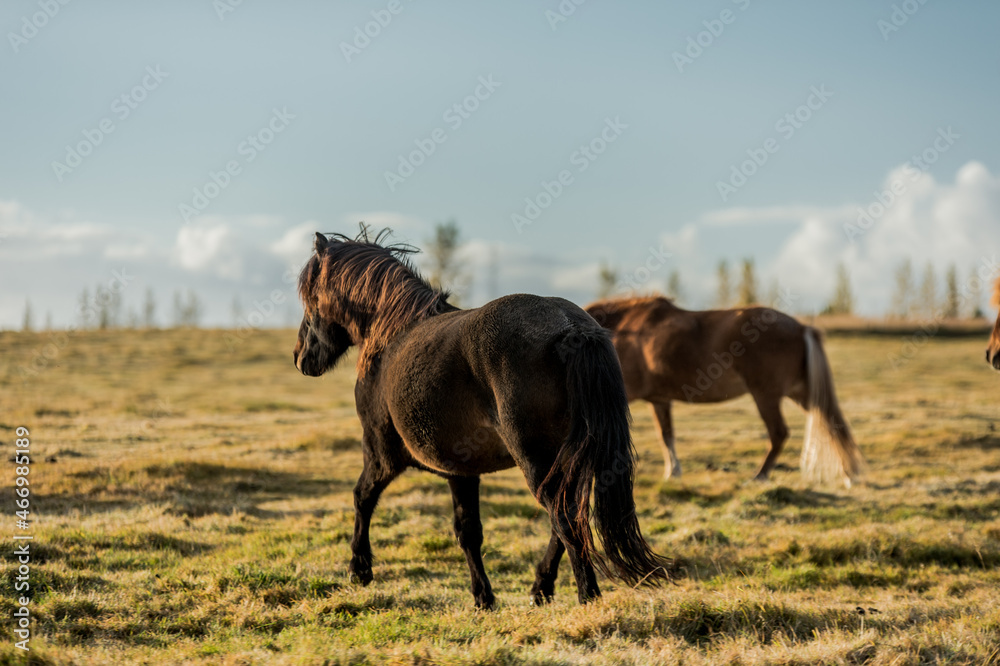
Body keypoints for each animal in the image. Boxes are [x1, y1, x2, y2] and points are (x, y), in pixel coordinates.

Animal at [292, 231, 676, 608]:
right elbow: (469, 531)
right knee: (567, 518)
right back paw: (541, 588)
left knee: (563, 516)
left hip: (535, 460)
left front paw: (359, 569)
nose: (300, 357)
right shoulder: (462, 470)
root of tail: (571, 327)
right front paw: (484, 597)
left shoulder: (381, 454)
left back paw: (587, 596)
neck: (390, 336)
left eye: (310, 298)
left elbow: (364, 498)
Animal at [584, 298, 864, 486]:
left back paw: (760, 476)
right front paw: (673, 471)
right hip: (802, 394)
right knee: (833, 424)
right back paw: (849, 474)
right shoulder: (660, 400)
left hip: (766, 396)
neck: (626, 330)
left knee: (779, 433)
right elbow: (666, 436)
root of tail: (800, 327)